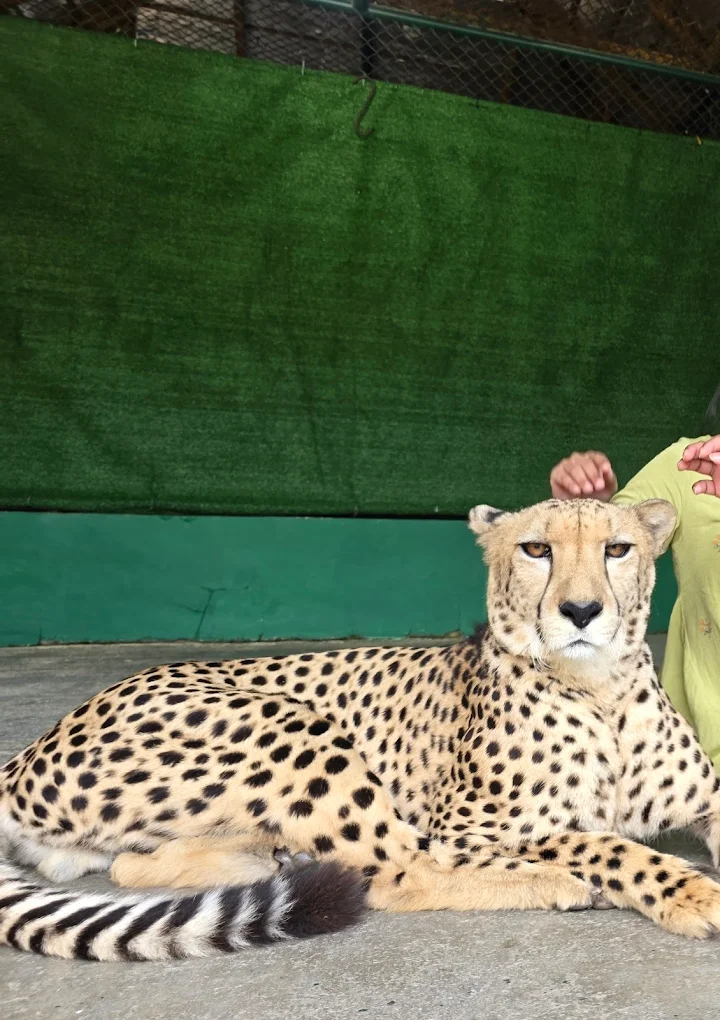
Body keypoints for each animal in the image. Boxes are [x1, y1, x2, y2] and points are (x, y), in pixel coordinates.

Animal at [4, 496, 720, 962]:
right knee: (398, 871)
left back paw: (272, 858)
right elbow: (601, 842)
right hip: (294, 726)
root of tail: (35, 744)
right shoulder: (471, 827)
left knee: (128, 865)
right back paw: (557, 887)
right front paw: (690, 893)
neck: (601, 689)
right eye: (536, 549)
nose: (581, 610)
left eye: (617, 549)